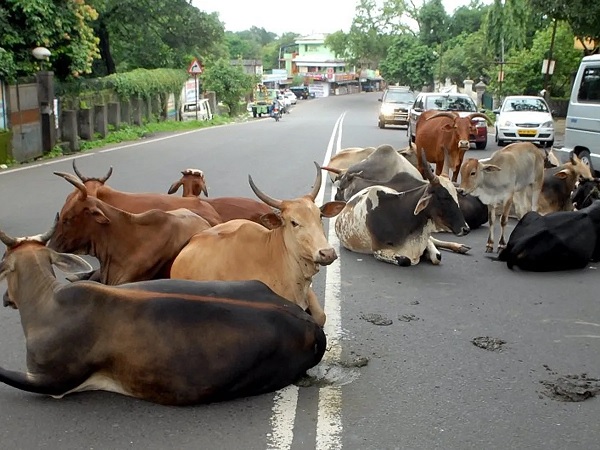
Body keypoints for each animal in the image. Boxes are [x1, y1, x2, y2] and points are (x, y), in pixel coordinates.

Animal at [336, 154, 472, 266]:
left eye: (456, 196)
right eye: (444, 197)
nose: (465, 229)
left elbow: (437, 256)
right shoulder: (379, 250)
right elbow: (405, 260)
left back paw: (460, 247)